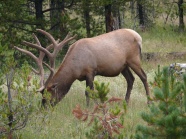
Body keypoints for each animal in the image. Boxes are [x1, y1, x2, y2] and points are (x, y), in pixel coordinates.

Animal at [14, 28, 151, 106]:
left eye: (48, 95)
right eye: (42, 95)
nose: (43, 106)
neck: (75, 69)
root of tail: (139, 37)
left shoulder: (91, 71)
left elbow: (89, 92)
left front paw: (92, 107)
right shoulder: (85, 75)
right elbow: (87, 92)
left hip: (134, 59)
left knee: (144, 77)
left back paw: (149, 101)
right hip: (123, 66)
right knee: (131, 79)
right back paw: (126, 102)